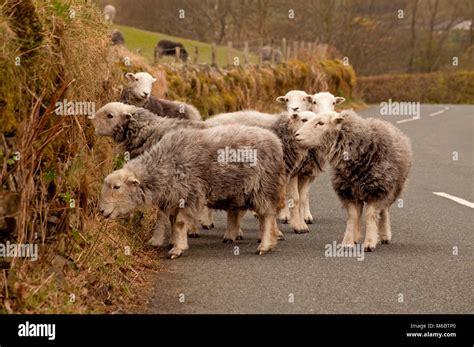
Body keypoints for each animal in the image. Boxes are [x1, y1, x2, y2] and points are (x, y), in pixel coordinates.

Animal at [99, 125, 286, 258]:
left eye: (117, 187)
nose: (101, 210)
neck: (165, 164)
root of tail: (275, 142)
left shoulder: (189, 196)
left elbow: (180, 223)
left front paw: (177, 249)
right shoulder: (174, 198)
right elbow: (172, 221)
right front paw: (174, 242)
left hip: (263, 187)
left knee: (267, 216)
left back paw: (264, 245)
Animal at [294, 110, 412, 251]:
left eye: (320, 123)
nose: (296, 135)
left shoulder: (376, 191)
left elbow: (370, 216)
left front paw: (369, 243)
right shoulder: (347, 192)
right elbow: (352, 217)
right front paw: (348, 242)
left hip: (391, 188)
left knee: (384, 210)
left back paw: (384, 235)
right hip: (358, 191)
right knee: (360, 213)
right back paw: (356, 237)